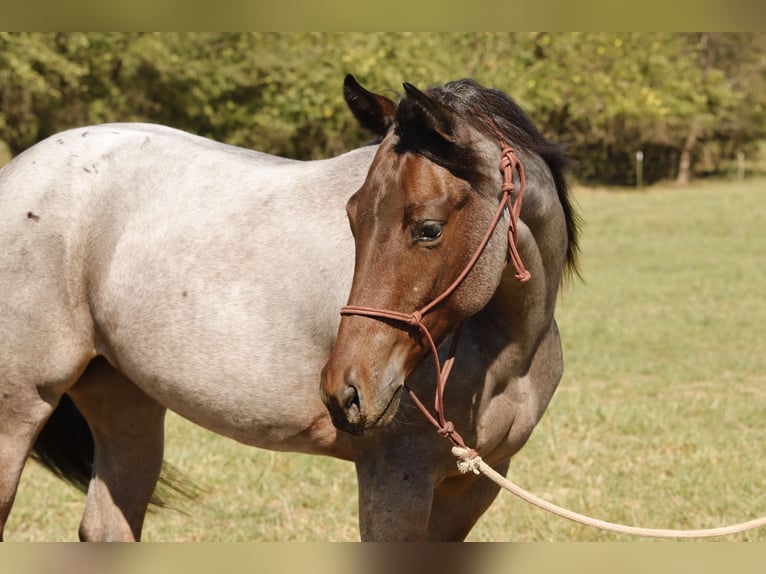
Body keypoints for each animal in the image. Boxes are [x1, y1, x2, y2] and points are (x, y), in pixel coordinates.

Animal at [0, 74, 578, 541]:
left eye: (428, 229)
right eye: (352, 217)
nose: (347, 391)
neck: (507, 355)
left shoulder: (475, 485)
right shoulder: (396, 476)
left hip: (125, 403)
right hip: (19, 409)